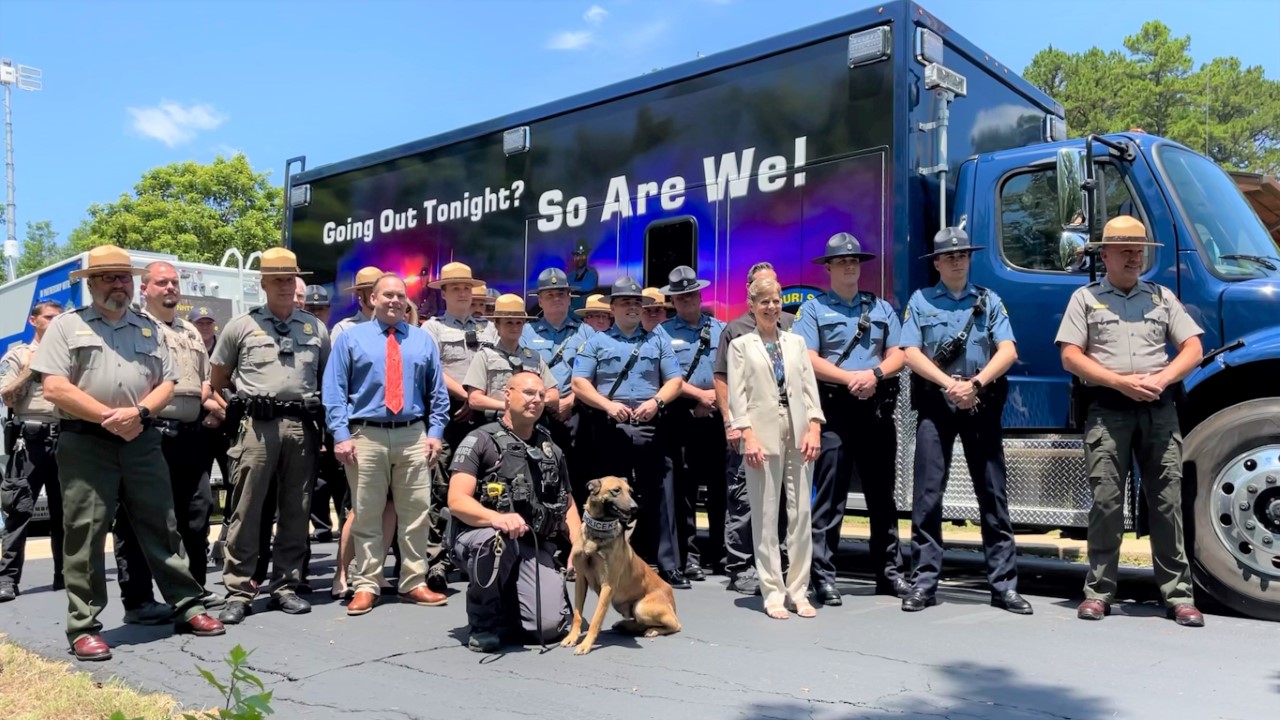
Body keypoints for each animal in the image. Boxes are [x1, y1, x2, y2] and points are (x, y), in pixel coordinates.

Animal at [560, 474, 680, 653]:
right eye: (616, 490)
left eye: (630, 491)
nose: (635, 508)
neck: (597, 534)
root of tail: (671, 595)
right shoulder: (580, 580)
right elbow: (577, 614)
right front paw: (572, 637)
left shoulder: (607, 586)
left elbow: (596, 618)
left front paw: (586, 645)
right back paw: (626, 625)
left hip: (641, 606)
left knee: (675, 625)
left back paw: (652, 630)